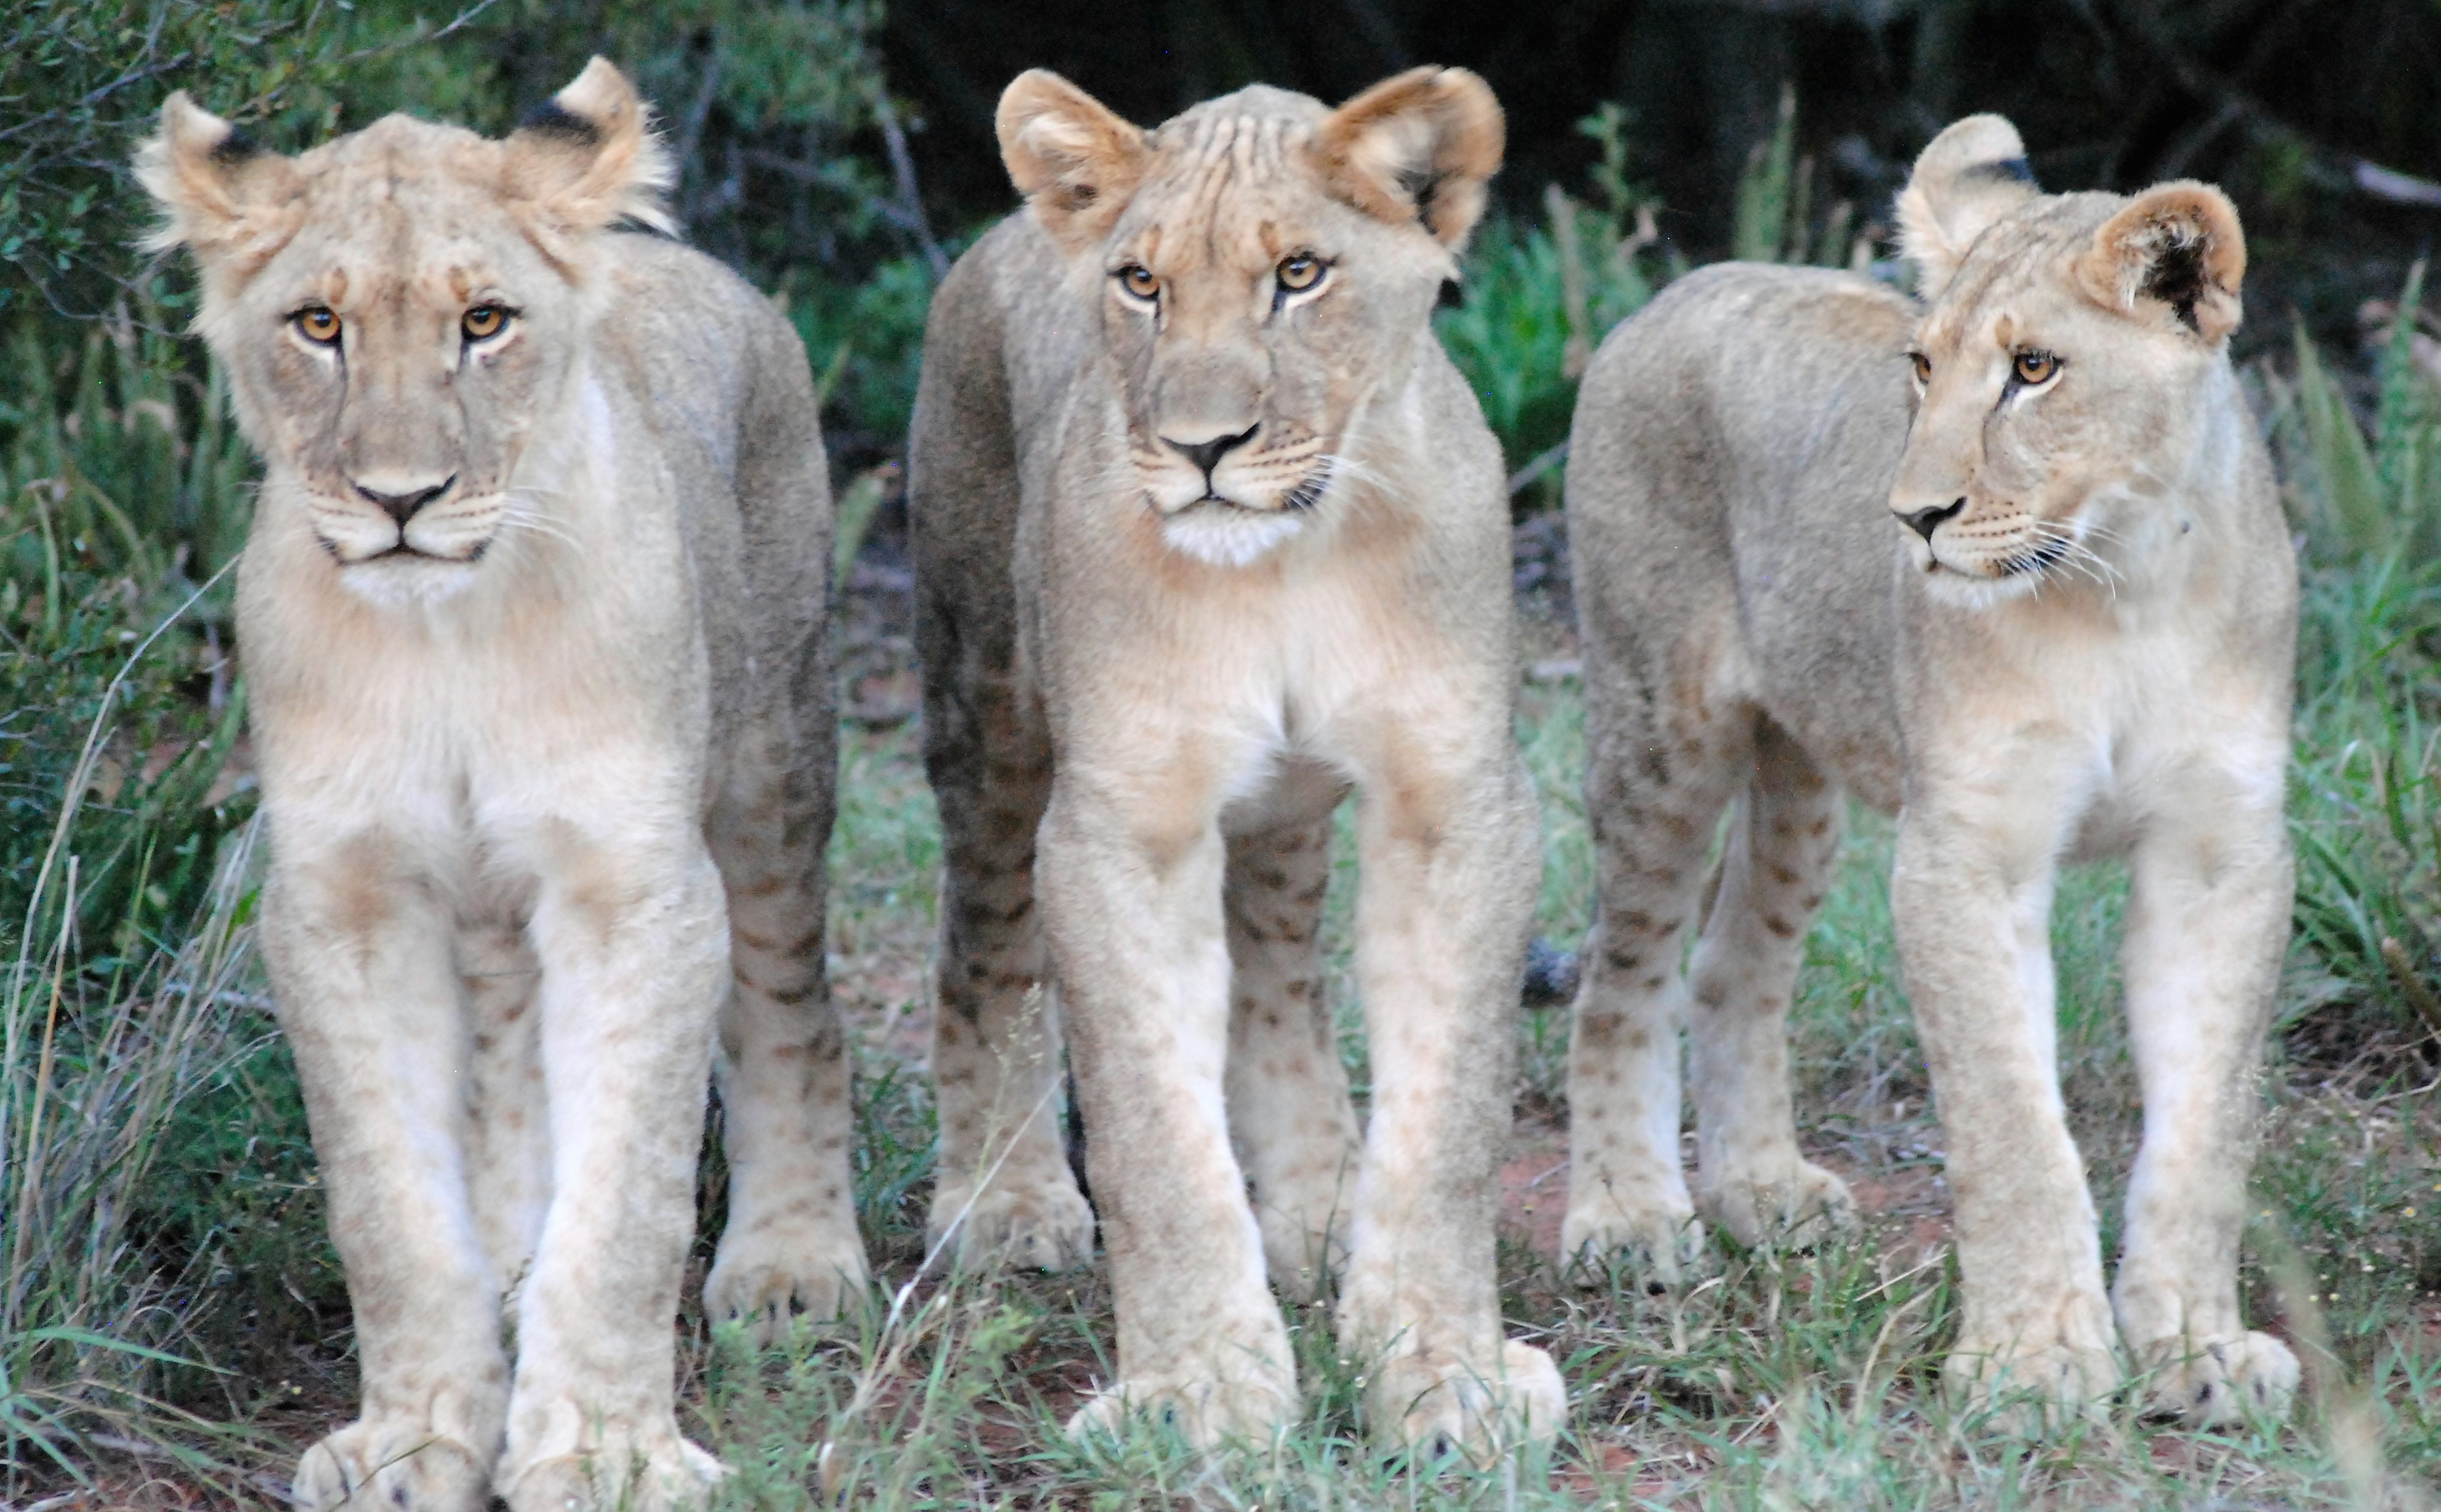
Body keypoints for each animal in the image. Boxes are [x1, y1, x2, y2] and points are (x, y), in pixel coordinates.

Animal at [139, 60, 861, 1510]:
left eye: (485, 322)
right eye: (318, 324)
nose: (400, 498)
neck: (449, 639)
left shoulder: (634, 884)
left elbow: (629, 1198)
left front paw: (605, 1449)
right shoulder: (345, 898)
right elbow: (390, 1208)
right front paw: (420, 1438)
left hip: (773, 770)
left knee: (790, 1008)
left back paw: (795, 1266)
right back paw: (514, 1284)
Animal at [905, 67, 1563, 1454]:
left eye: (1299, 275)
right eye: (1140, 282)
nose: (1203, 447)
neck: (1289, 566)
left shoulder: (1455, 803)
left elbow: (1449, 1122)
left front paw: (1442, 1372)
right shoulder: (1121, 826)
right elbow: (1154, 1134)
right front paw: (1198, 1391)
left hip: (1278, 818)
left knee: (1275, 978)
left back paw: (1313, 1210)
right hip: (982, 707)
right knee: (980, 947)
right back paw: (1005, 1205)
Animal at [1560, 114, 2300, 1426]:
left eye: (2035, 369)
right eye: (1921, 365)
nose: (1910, 518)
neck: (2122, 591)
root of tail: (1684, 283)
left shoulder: (2223, 858)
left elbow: (2208, 1127)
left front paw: (2194, 1348)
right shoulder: (1967, 854)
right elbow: (2011, 1122)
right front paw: (2034, 1362)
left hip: (1799, 775)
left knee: (1732, 964)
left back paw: (1762, 1190)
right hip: (1660, 734)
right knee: (1619, 973)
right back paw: (1629, 1218)